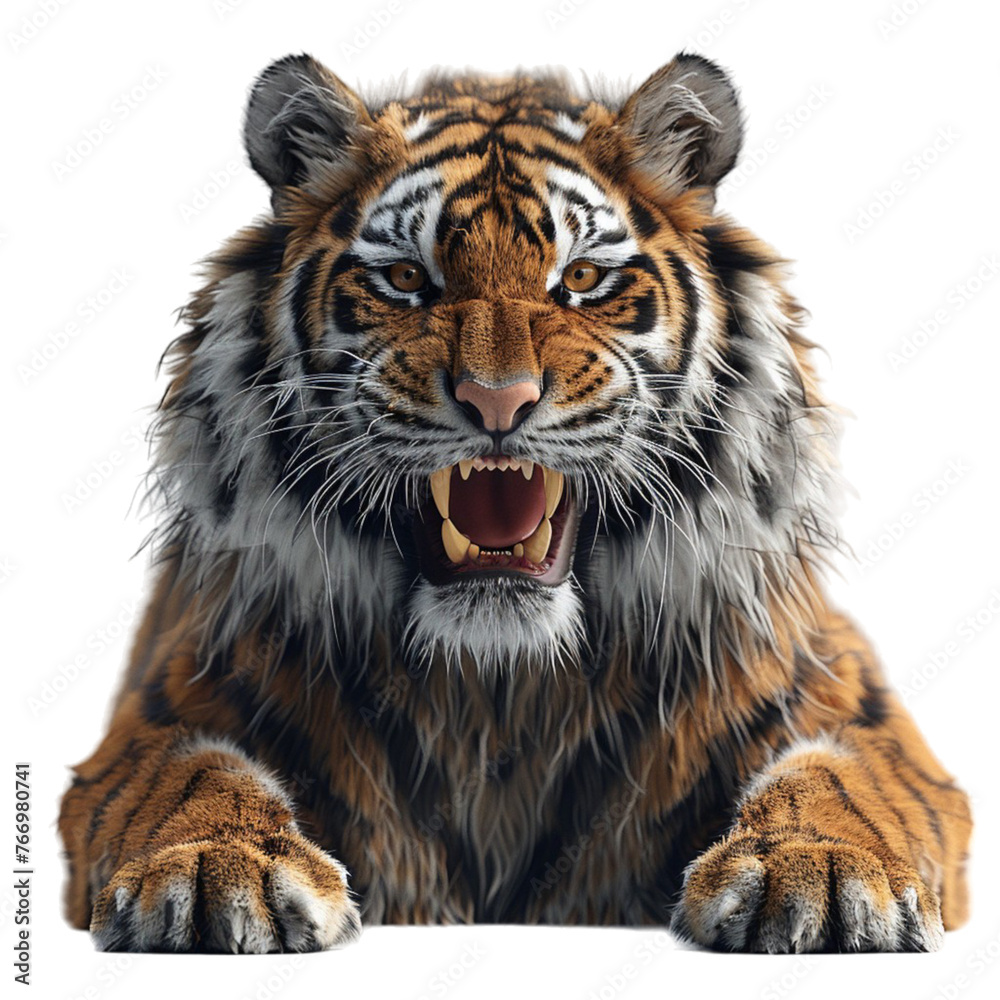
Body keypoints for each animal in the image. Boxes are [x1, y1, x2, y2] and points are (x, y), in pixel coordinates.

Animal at [58, 52, 972, 955]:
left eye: (582, 279)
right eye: (405, 279)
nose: (497, 399)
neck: (498, 687)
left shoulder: (846, 701)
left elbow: (838, 779)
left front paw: (818, 870)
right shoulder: (167, 707)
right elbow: (193, 773)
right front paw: (215, 864)